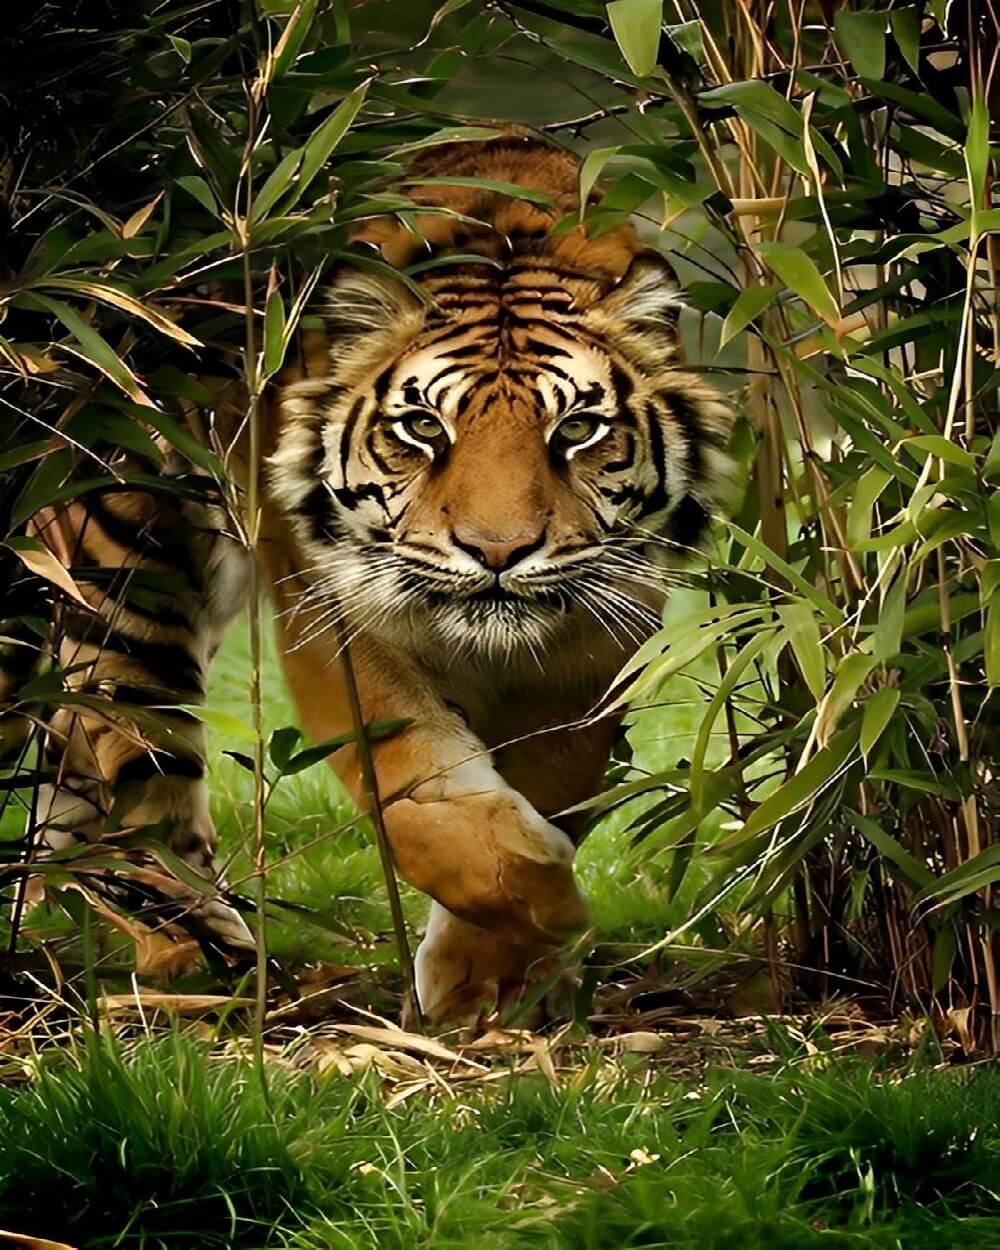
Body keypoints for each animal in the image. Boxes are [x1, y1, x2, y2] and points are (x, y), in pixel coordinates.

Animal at [13, 135, 734, 1023]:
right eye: (423, 427)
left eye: (577, 430)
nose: (498, 551)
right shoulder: (335, 612)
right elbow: (421, 794)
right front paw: (547, 910)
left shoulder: (596, 634)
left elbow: (552, 777)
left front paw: (489, 980)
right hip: (128, 578)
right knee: (136, 773)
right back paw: (198, 961)